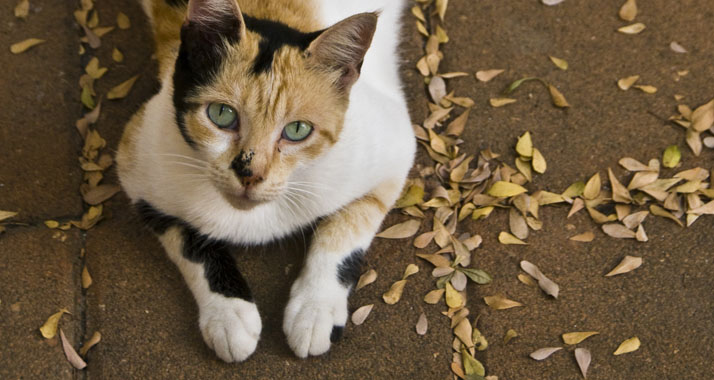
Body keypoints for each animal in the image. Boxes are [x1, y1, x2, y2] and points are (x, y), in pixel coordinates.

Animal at [117, 0, 414, 362]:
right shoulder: (136, 165)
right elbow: (188, 240)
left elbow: (345, 229)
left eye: (298, 130)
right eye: (221, 114)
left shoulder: (395, 149)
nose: (250, 174)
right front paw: (227, 316)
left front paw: (315, 310)